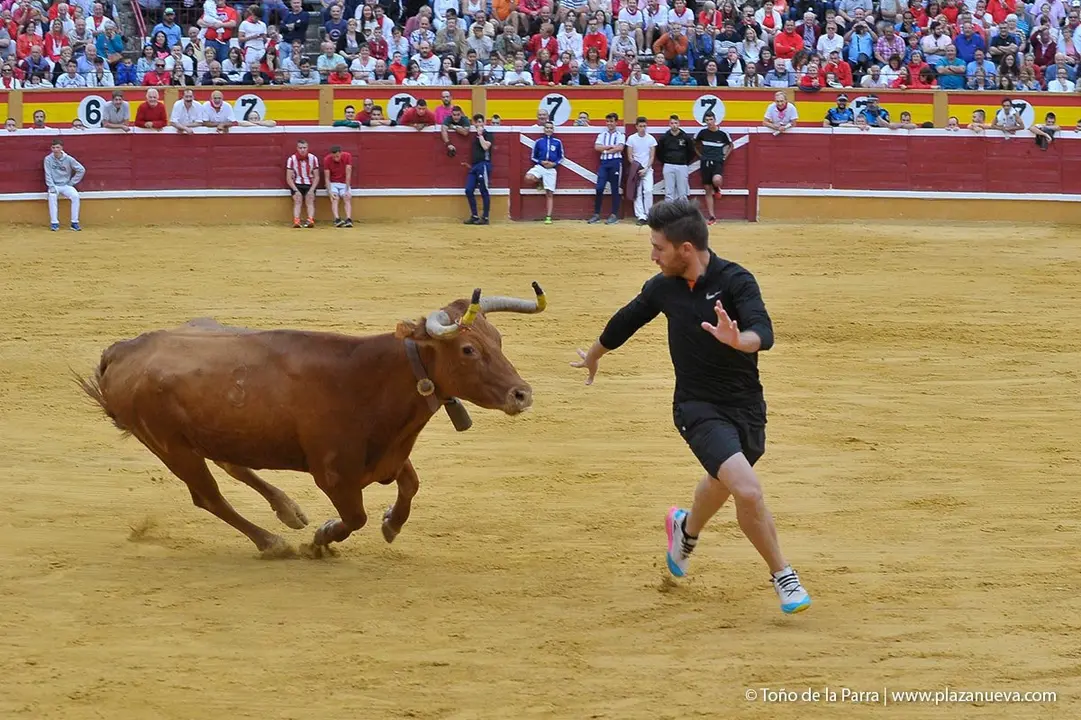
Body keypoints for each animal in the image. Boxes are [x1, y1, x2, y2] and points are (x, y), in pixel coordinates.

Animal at [76, 284, 547, 558]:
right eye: (468, 350)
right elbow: (355, 517)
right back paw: (273, 542)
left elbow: (410, 486)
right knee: (208, 496)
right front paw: (322, 539)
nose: (521, 394)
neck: (368, 378)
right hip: (171, 447)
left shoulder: (388, 455)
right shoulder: (335, 475)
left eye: (498, 339)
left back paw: (289, 511)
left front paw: (391, 525)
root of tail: (123, 349)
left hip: (216, 435)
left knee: (233, 464)